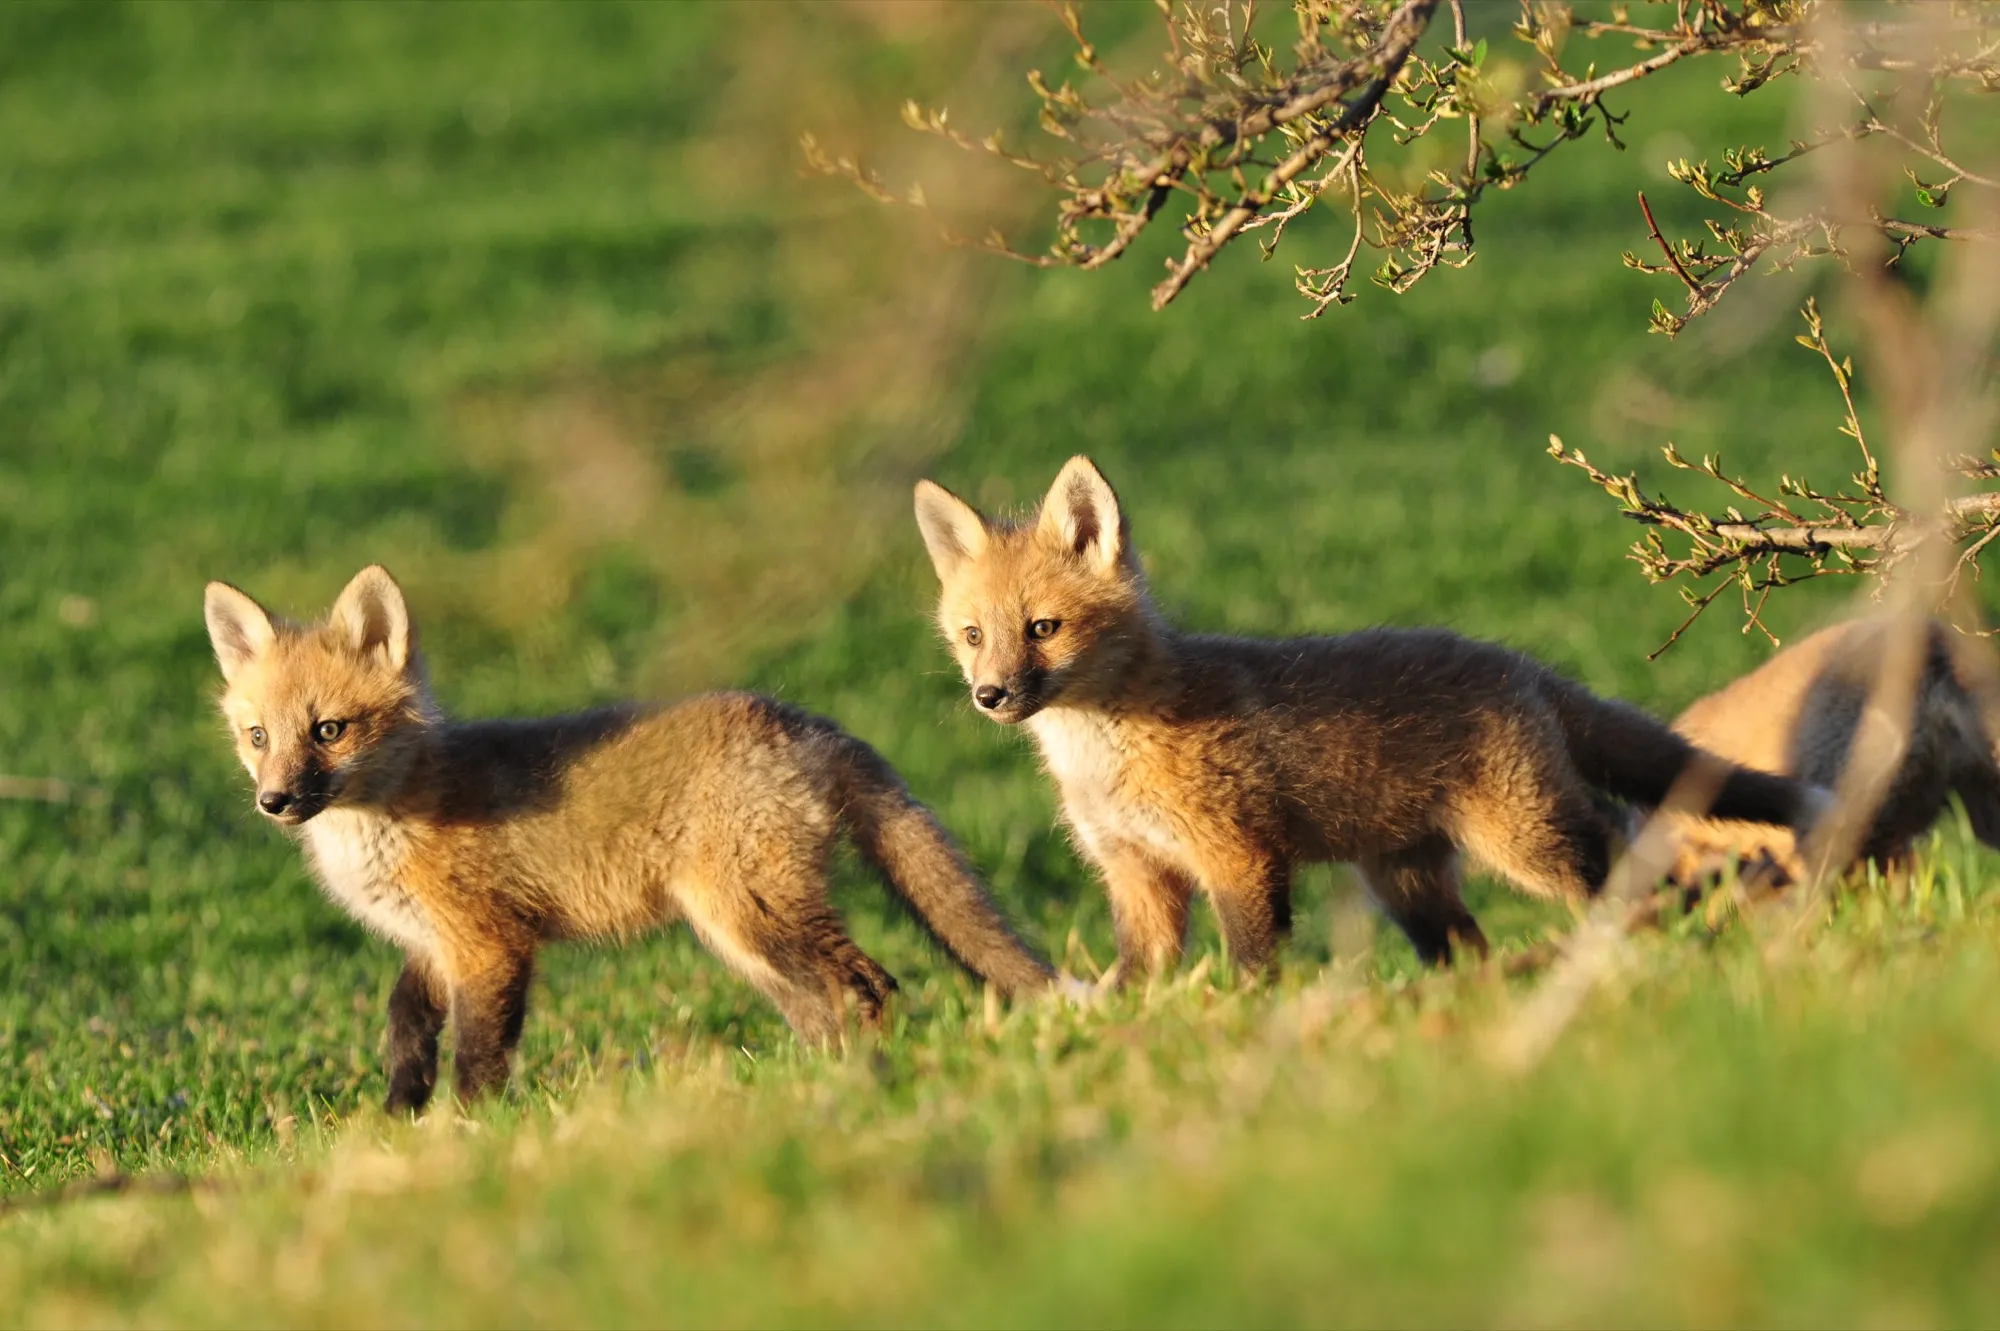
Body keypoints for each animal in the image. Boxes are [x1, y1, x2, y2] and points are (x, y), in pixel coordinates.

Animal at [203, 565, 1056, 1113]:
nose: (275, 800)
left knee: (867, 986)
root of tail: (798, 718)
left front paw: (473, 1131)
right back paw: (825, 1086)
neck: (391, 818)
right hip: (742, 938)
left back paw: (864, 1082)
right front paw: (396, 1120)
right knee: (824, 1008)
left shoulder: (491, 944)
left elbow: (479, 1053)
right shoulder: (432, 945)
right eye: (257, 735)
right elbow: (405, 1030)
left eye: (329, 730)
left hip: (753, 916)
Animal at [912, 455, 1829, 975]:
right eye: (973, 635)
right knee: (1467, 949)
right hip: (1408, 883)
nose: (990, 695)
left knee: (1634, 854)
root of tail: (1514, 660)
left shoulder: (1239, 854)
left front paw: (1247, 1027)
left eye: (1043, 629)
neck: (1108, 752)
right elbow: (1142, 979)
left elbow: (1254, 965)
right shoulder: (1136, 872)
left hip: (1530, 841)